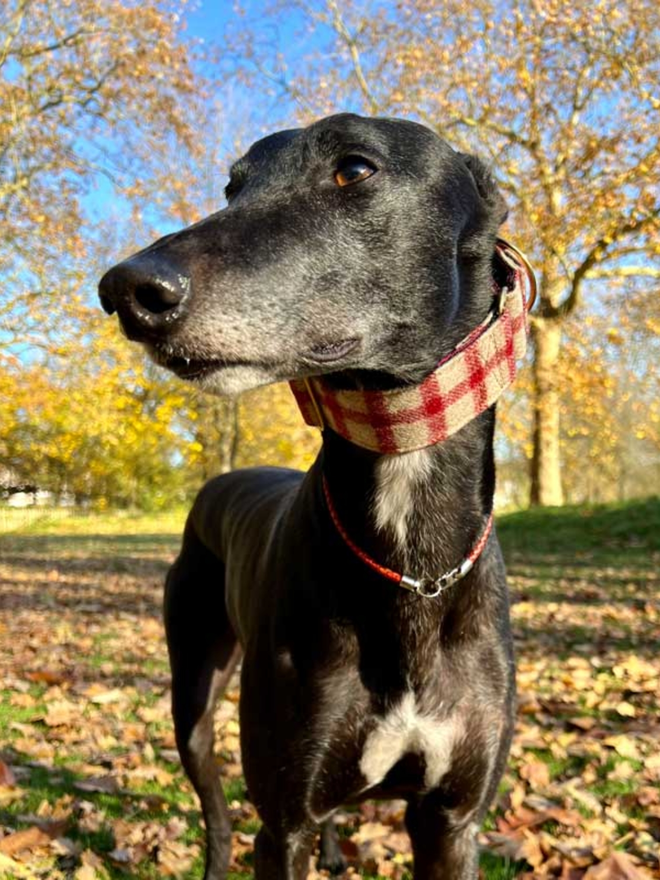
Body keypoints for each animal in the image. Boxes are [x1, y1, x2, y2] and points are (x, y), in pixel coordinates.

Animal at [99, 113, 524, 876]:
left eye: (354, 169)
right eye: (232, 188)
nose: (128, 289)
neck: (413, 566)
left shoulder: (453, 821)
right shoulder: (283, 821)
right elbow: (274, 819)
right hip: (195, 692)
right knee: (215, 807)